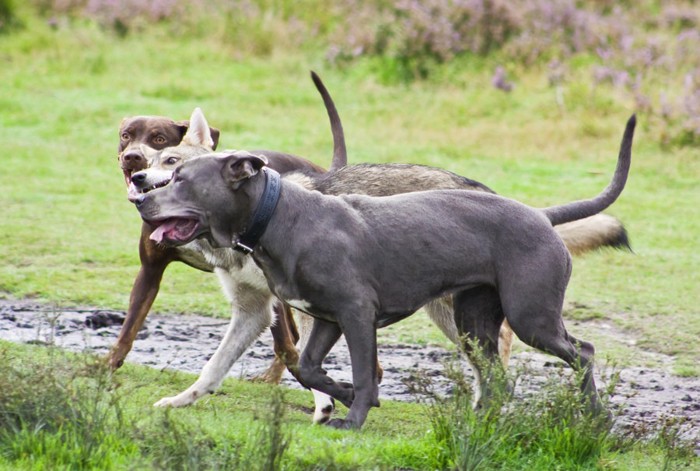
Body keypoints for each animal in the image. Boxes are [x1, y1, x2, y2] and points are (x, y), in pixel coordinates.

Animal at [134, 116, 636, 430]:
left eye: (179, 175)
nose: (139, 195)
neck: (278, 215)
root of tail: (541, 215)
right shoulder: (325, 318)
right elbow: (309, 369)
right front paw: (344, 395)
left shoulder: (356, 315)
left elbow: (360, 370)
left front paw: (352, 419)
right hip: (475, 321)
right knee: (495, 374)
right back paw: (482, 422)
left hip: (531, 316)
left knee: (583, 352)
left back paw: (595, 419)